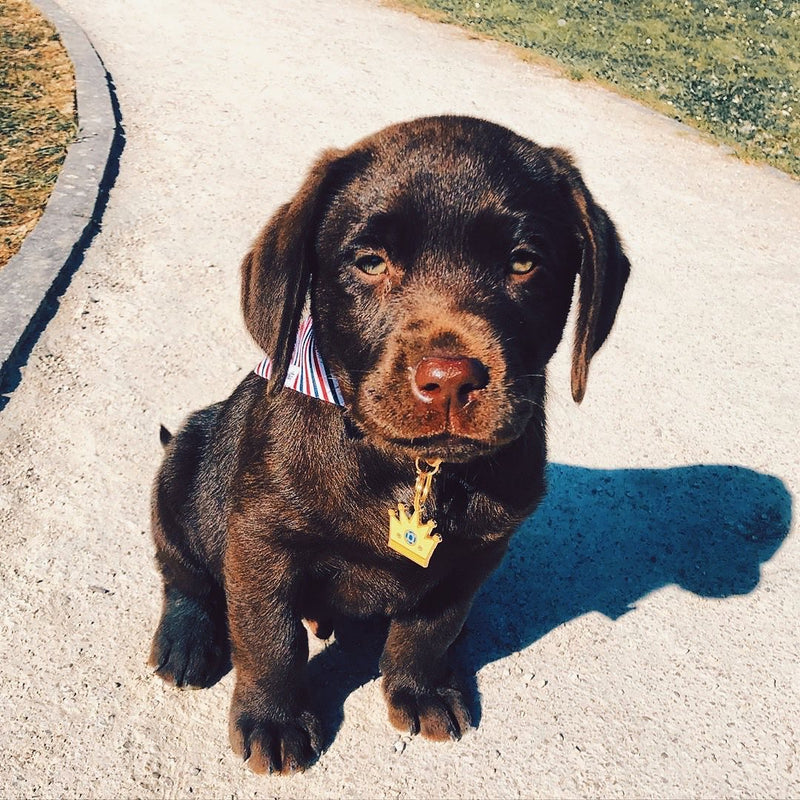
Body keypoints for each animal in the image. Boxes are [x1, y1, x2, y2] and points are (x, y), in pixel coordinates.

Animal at [147, 117, 628, 776]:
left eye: (525, 262)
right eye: (370, 262)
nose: (449, 378)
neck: (411, 469)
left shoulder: (477, 552)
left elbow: (430, 627)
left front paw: (421, 688)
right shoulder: (261, 540)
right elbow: (270, 636)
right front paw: (273, 718)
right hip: (181, 470)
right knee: (183, 572)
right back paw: (187, 638)